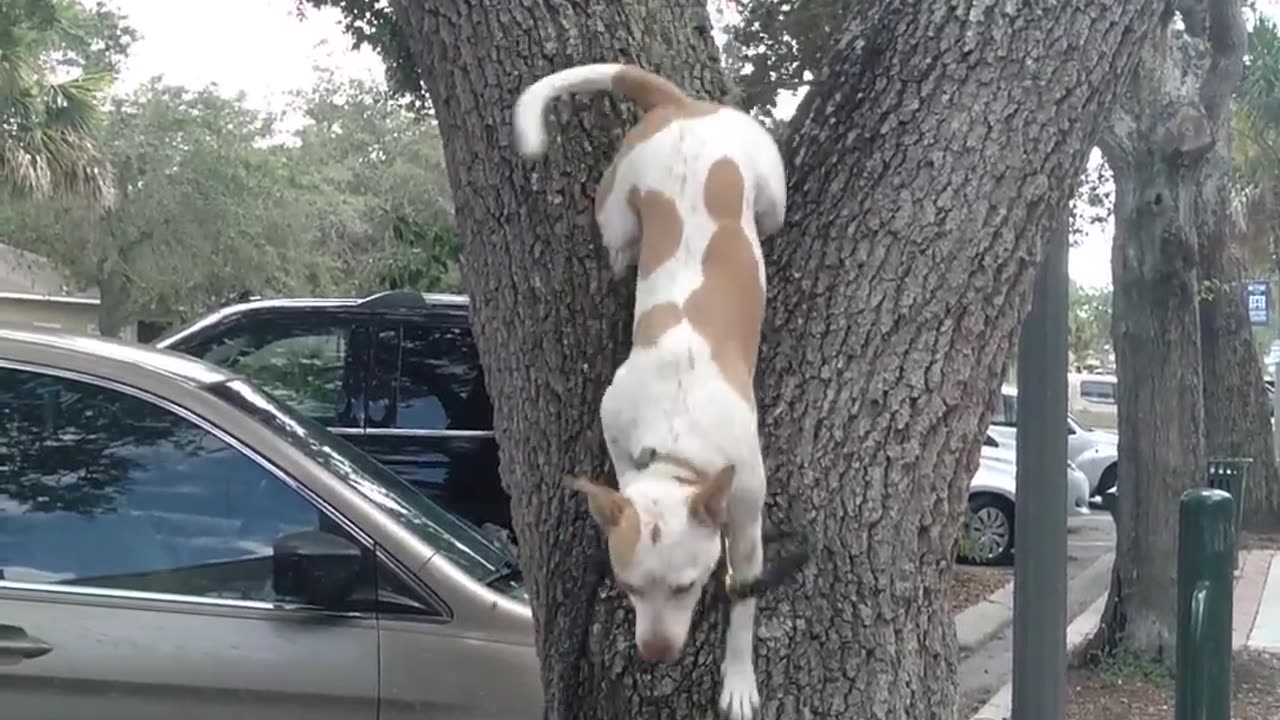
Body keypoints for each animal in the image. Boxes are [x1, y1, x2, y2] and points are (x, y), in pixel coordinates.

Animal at [514, 63, 783, 717]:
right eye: (629, 585)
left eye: (687, 586)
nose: (656, 654)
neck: (675, 441)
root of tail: (680, 108)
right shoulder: (616, 424)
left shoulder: (746, 521)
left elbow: (744, 600)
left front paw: (739, 680)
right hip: (617, 200)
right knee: (618, 237)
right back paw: (622, 254)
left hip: (771, 191)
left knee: (769, 213)